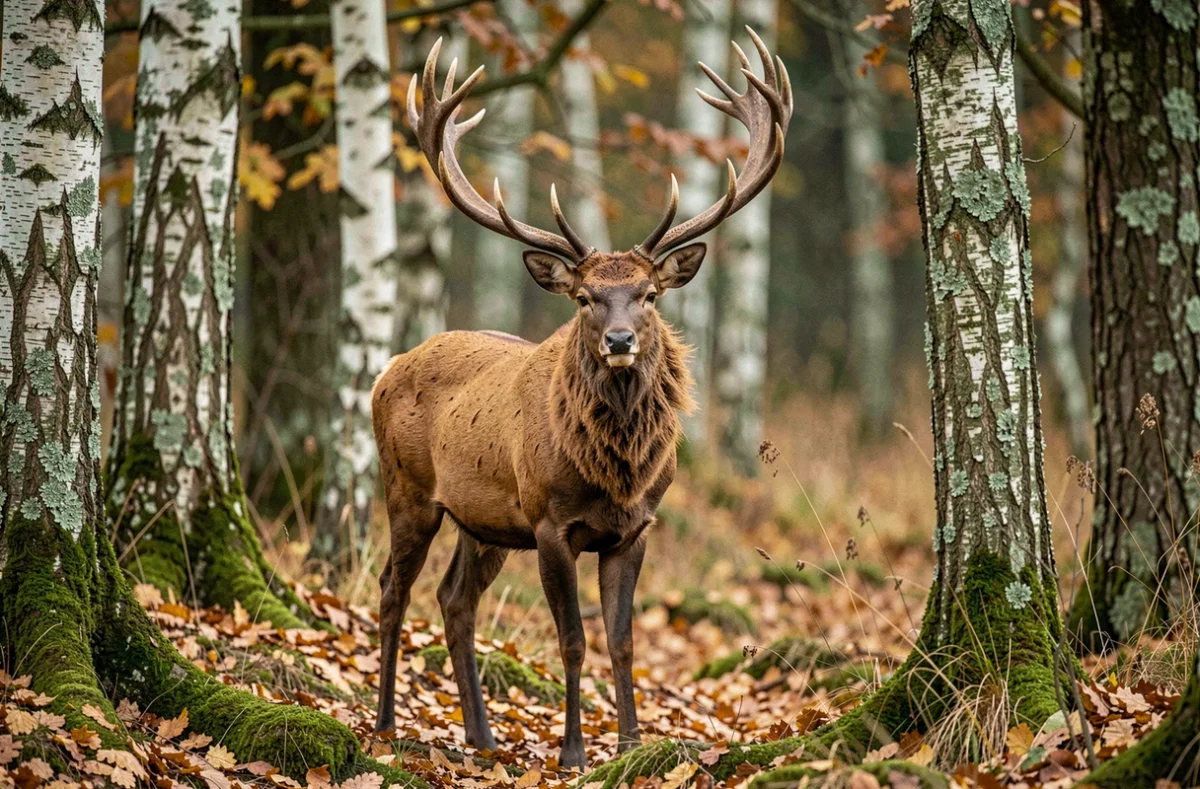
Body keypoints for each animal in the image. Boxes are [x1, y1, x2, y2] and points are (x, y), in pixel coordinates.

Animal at [371, 29, 791, 769]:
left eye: (649, 293)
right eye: (586, 297)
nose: (620, 339)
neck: (615, 472)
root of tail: (385, 369)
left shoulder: (635, 528)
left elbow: (623, 640)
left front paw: (631, 743)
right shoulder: (549, 522)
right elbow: (573, 640)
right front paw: (572, 752)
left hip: (484, 520)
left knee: (454, 599)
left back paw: (481, 737)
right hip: (411, 490)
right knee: (394, 592)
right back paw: (387, 723)